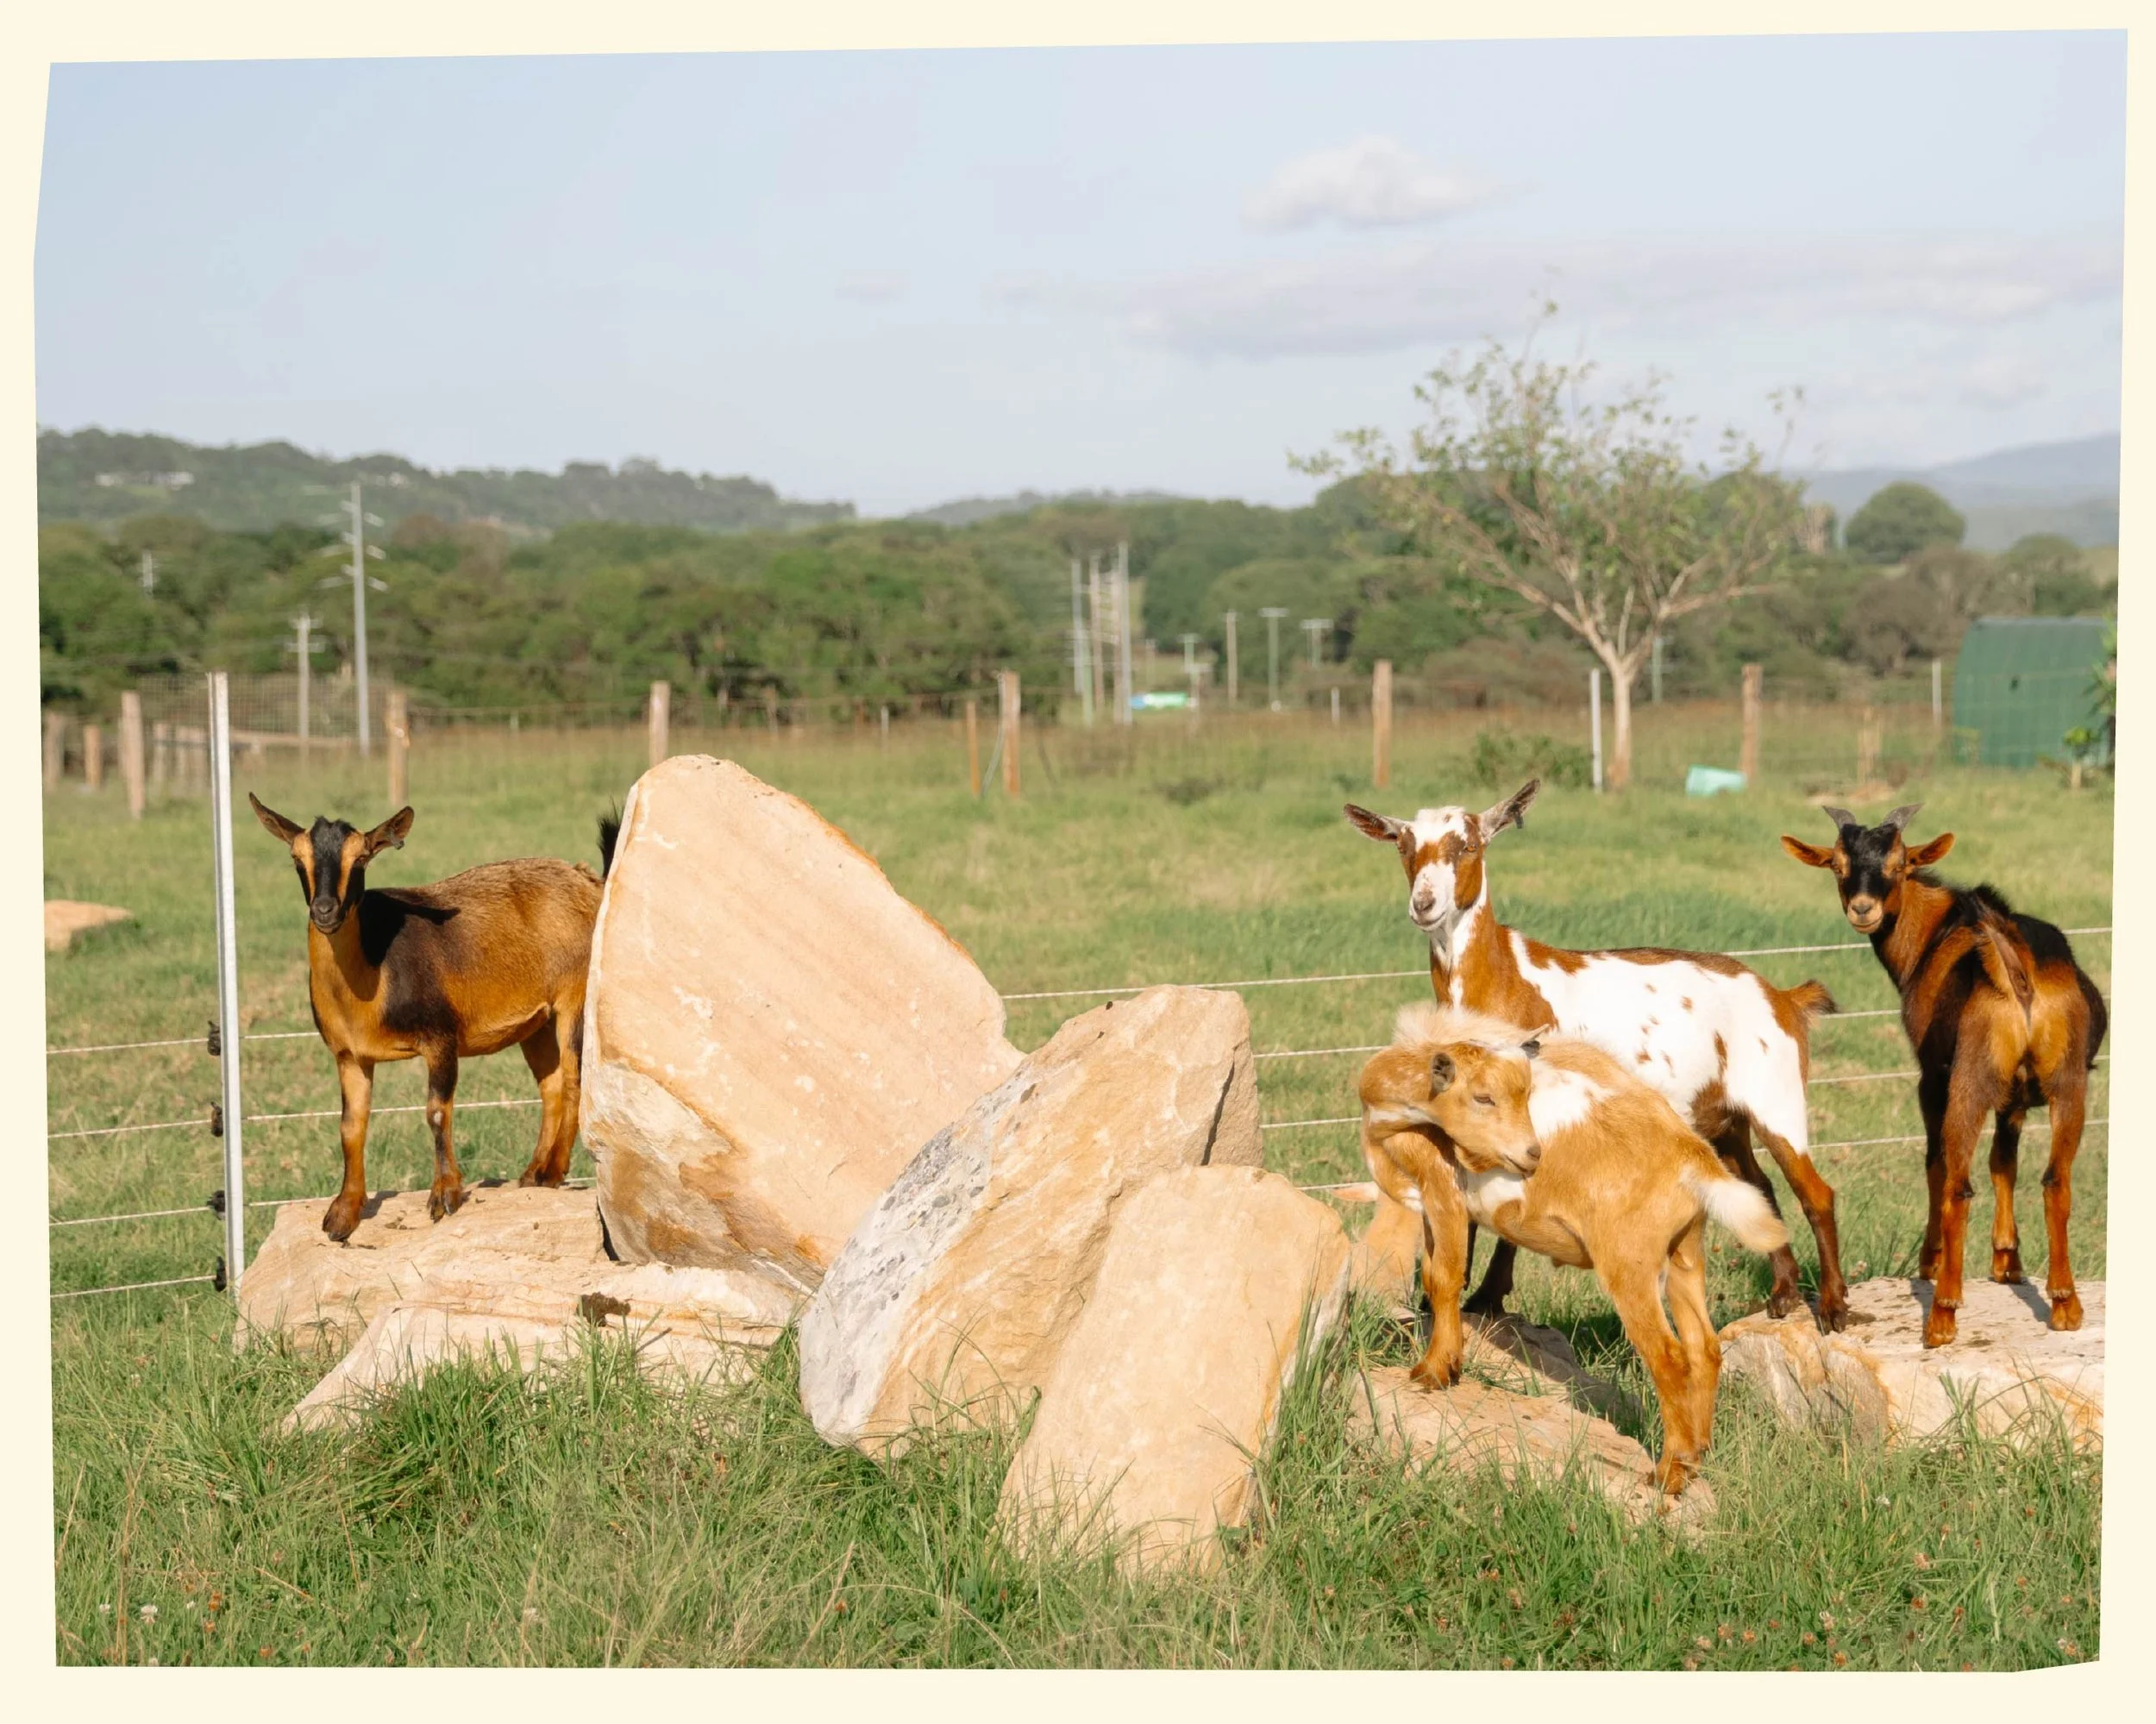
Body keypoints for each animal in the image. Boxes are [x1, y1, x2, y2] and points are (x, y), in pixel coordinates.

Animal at [250, 796, 613, 1242]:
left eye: (361, 858)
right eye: (297, 858)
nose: (325, 911)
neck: (374, 971)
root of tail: (588, 880)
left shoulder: (441, 1039)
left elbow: (437, 1112)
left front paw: (444, 1196)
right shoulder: (350, 1056)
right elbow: (351, 1127)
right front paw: (343, 1214)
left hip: (575, 998)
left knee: (575, 1078)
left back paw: (553, 1171)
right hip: (538, 1023)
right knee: (553, 1085)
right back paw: (533, 1174)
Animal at [1345, 780, 1847, 1329]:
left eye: (1470, 846)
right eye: (1403, 847)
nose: (1425, 903)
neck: (1503, 977)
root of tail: (1785, 997)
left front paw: (1487, 1298)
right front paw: (1448, 1301)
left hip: (1777, 1094)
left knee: (1815, 1193)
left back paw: (1834, 1307)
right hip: (1725, 1116)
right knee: (1760, 1187)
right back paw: (1784, 1294)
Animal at [1359, 1003, 1788, 1497]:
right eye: (1484, 1097)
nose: (1530, 1155)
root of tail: (1693, 1158)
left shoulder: (1441, 1188)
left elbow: (1442, 1277)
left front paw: (1434, 1372)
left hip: (1630, 1264)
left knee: (1670, 1357)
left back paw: (1669, 1474)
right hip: (1685, 1251)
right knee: (1704, 1347)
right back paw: (1696, 1455)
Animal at [1782, 804, 2106, 1347]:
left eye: (1899, 864)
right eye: (1838, 865)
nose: (1864, 909)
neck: (1935, 933)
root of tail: (2016, 968)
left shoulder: (1931, 1075)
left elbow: (1935, 1164)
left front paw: (1930, 1262)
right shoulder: (2015, 1096)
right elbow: (2004, 1163)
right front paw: (2008, 1262)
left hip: (1967, 1082)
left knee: (1958, 1183)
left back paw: (1942, 1316)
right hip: (2068, 1084)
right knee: (2055, 1180)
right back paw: (2065, 1305)